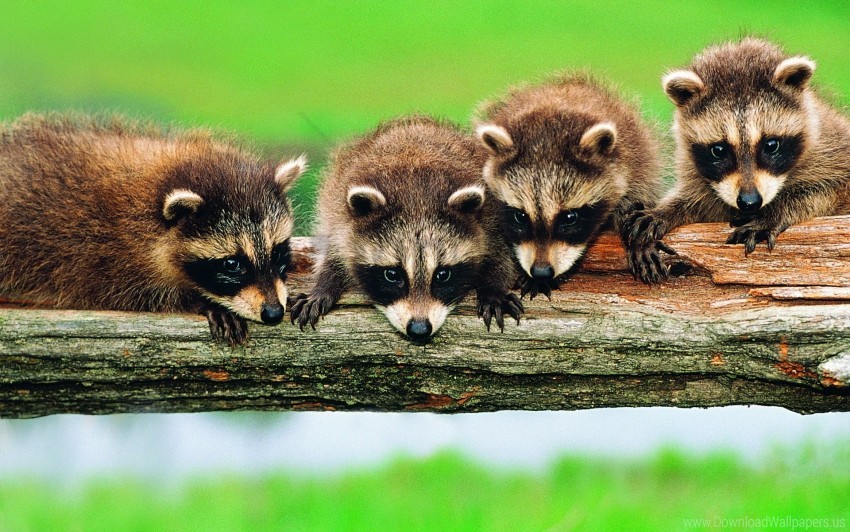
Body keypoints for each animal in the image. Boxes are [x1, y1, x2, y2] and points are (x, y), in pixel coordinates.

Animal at [0, 113, 306, 345]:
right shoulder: (106, 257)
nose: (273, 313)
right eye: (232, 264)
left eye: (278, 253)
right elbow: (141, 294)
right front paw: (203, 302)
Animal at [289, 116, 522, 343]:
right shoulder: (339, 219)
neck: (416, 195)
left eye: (443, 275)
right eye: (392, 274)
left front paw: (493, 289)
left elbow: (500, 256)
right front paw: (323, 285)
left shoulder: (490, 220)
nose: (419, 329)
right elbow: (334, 253)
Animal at [628, 37, 850, 283]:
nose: (750, 202)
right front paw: (665, 210)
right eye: (718, 150)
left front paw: (774, 212)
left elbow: (829, 190)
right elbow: (697, 200)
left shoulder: (833, 149)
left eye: (771, 145)